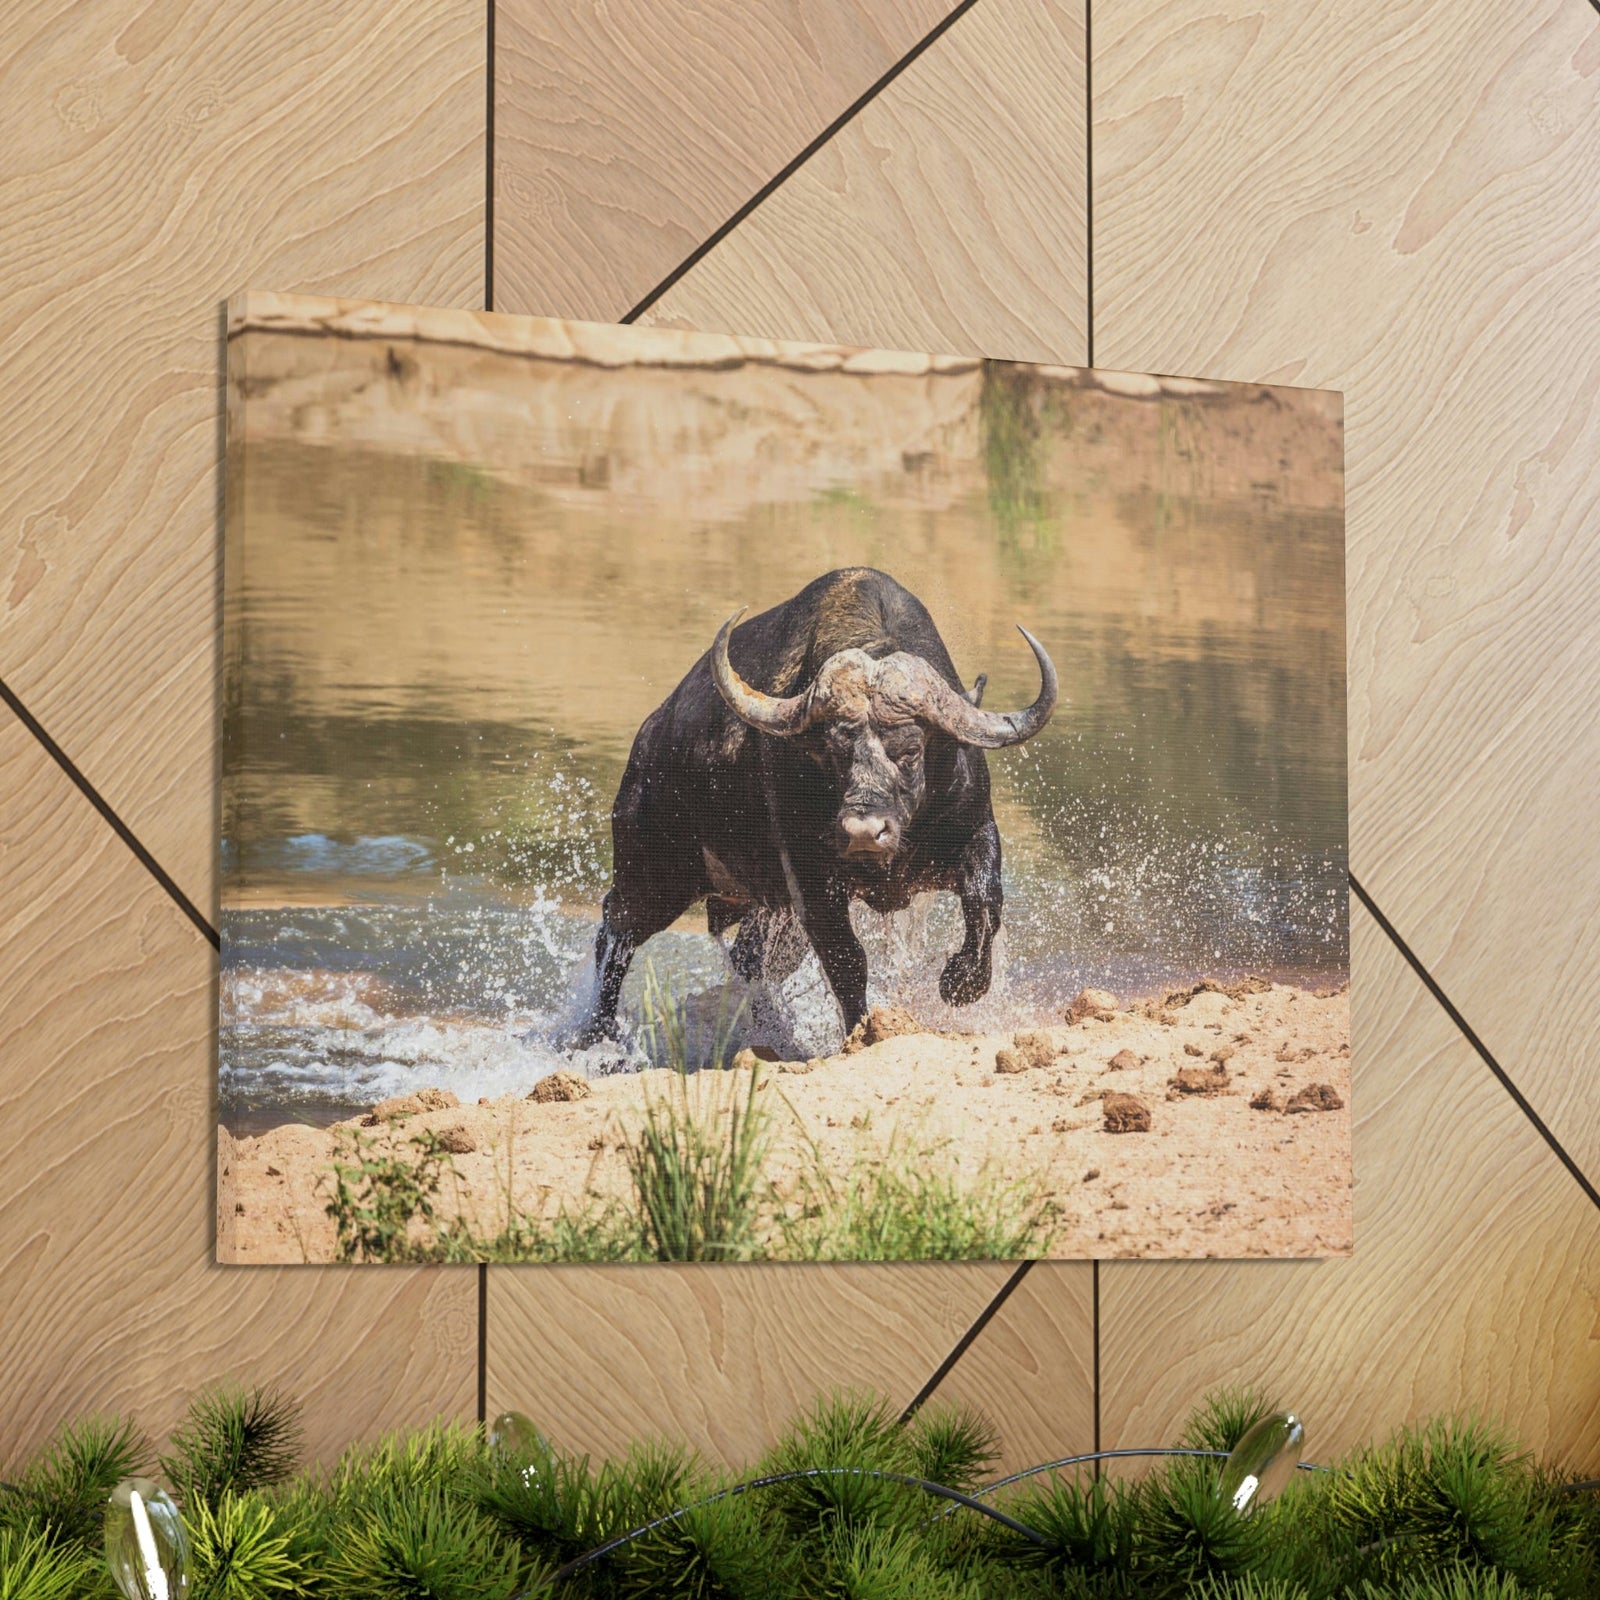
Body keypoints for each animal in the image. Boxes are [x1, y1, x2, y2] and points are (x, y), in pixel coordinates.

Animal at [575, 567, 1057, 1046]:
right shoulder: (810, 879)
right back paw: (598, 1036)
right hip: (653, 875)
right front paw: (863, 1029)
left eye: (911, 750)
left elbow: (985, 905)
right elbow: (846, 959)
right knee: (615, 934)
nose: (864, 832)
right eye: (832, 752)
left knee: (749, 959)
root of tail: (649, 739)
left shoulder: (975, 832)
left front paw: (961, 982)